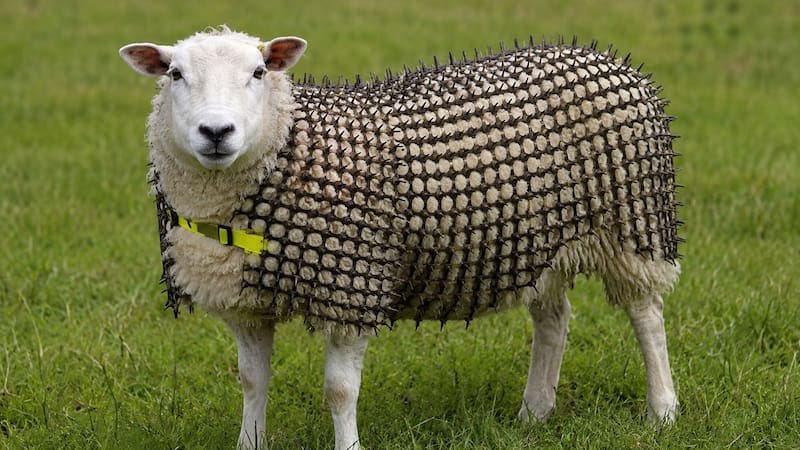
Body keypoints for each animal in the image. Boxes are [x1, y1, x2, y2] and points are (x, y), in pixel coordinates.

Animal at [120, 26, 682, 450]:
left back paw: (662, 410)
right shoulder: (244, 300)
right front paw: (249, 444)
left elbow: (339, 391)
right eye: (174, 74)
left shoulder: (351, 286)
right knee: (553, 318)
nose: (217, 133)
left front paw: (348, 446)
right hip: (540, 237)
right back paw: (534, 411)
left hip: (632, 223)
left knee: (647, 315)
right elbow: (252, 380)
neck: (287, 148)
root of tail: (605, 56)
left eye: (259, 73)